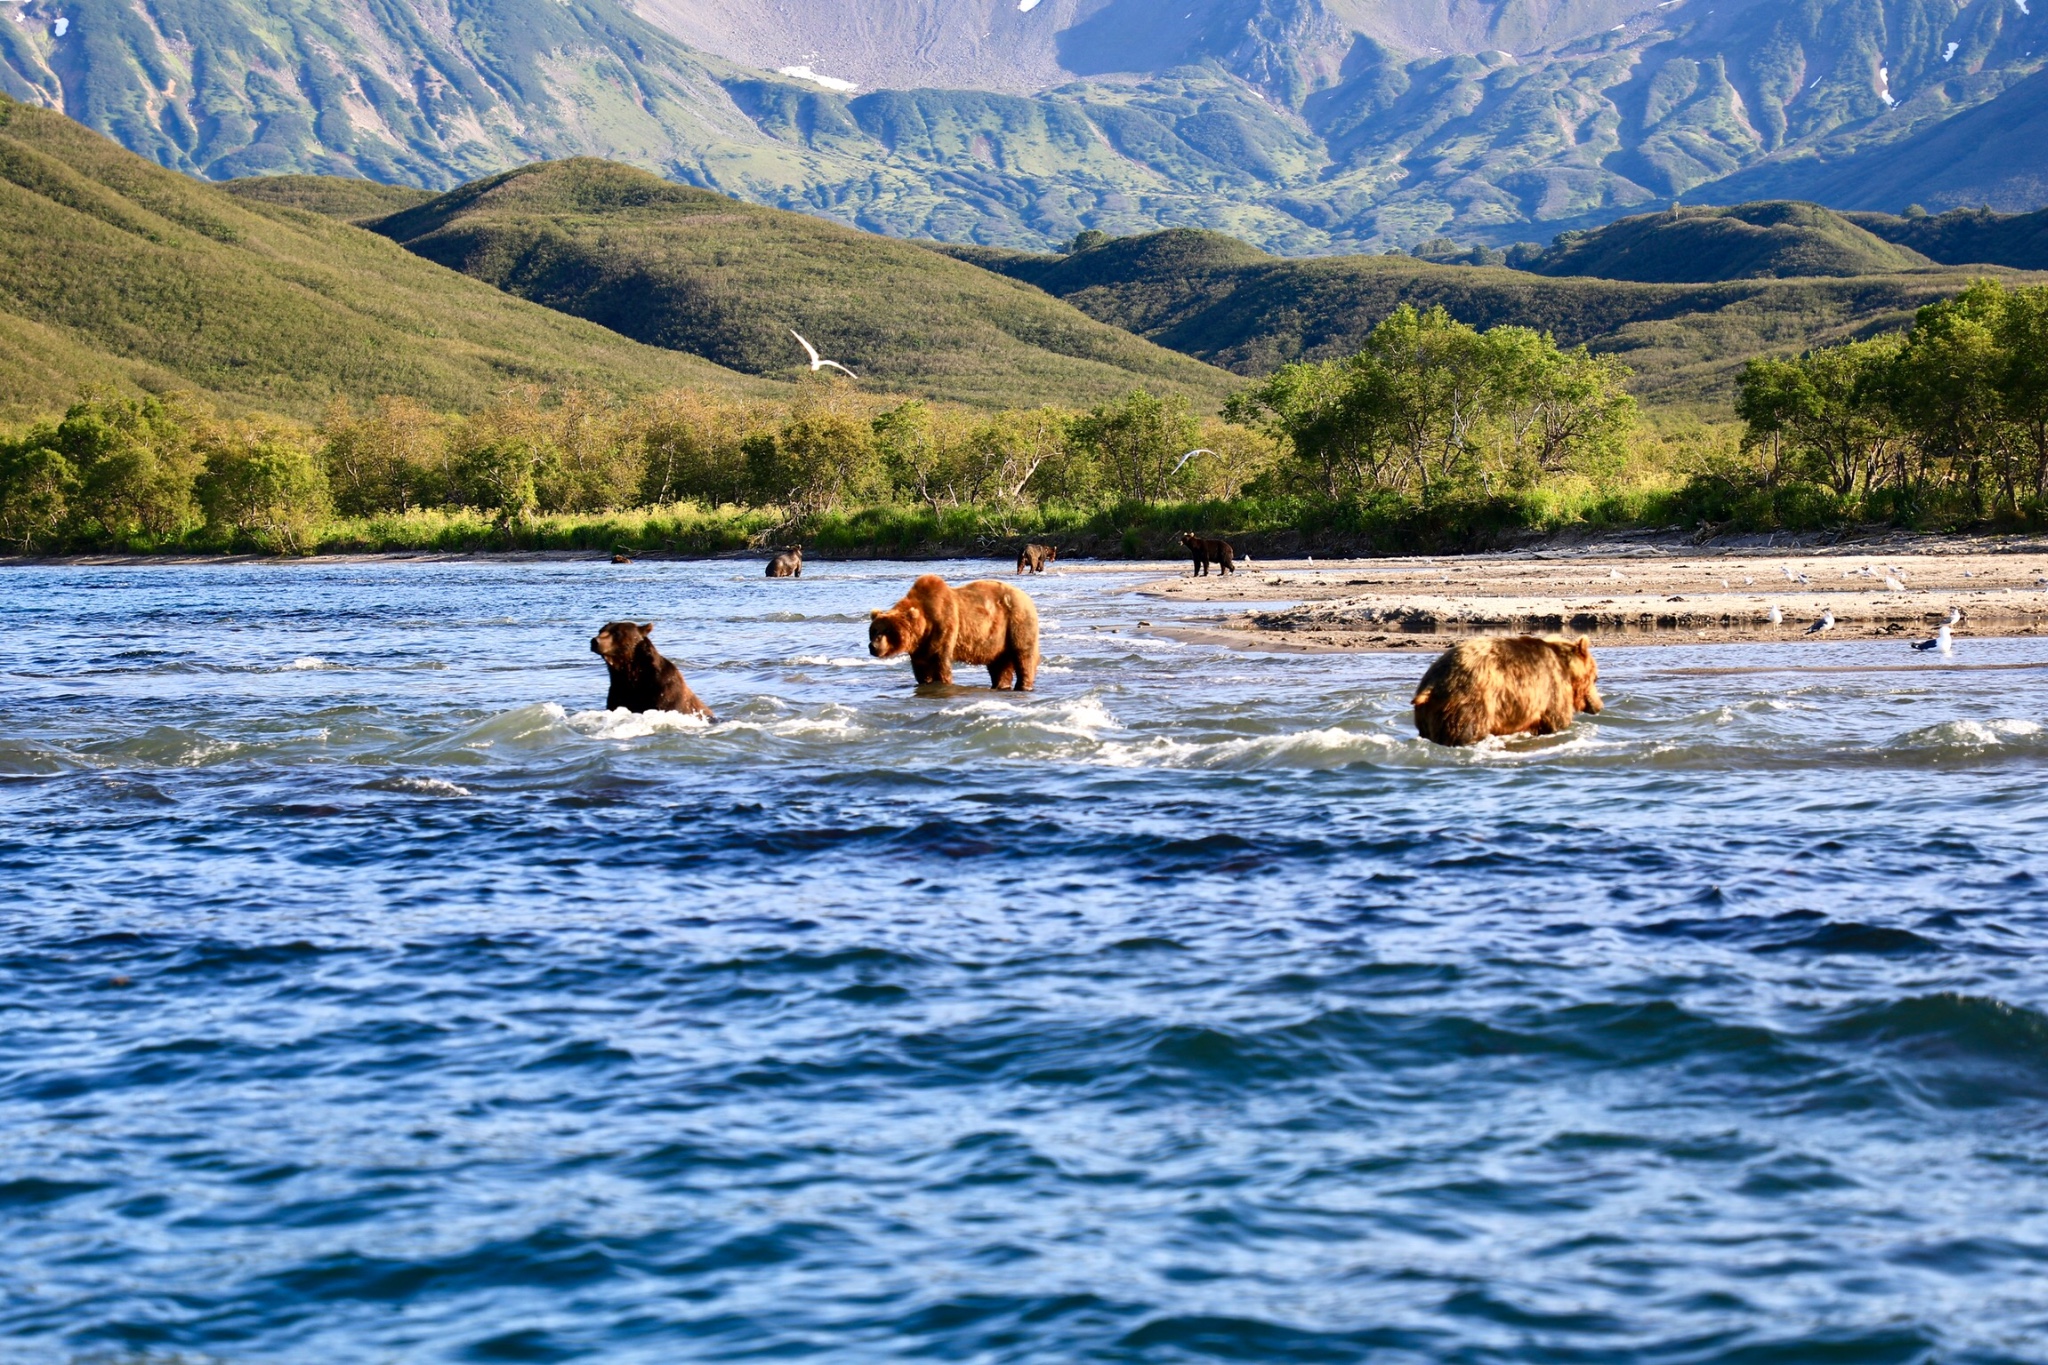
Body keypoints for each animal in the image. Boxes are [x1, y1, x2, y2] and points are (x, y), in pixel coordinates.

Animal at [868, 573, 1040, 687]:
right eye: (873, 630)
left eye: (888, 631)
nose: (873, 646)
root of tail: (1027, 598)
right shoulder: (920, 648)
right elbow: (922, 670)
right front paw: (925, 682)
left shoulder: (944, 625)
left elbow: (940, 663)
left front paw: (943, 682)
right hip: (998, 639)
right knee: (1000, 665)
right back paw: (1000, 685)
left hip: (1017, 622)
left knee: (1024, 656)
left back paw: (1023, 685)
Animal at [1417, 638, 1605, 749]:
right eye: (1596, 678)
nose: (1599, 705)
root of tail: (1433, 683)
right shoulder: (1553, 687)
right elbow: (1557, 719)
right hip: (1471, 700)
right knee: (1467, 729)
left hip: (1428, 714)